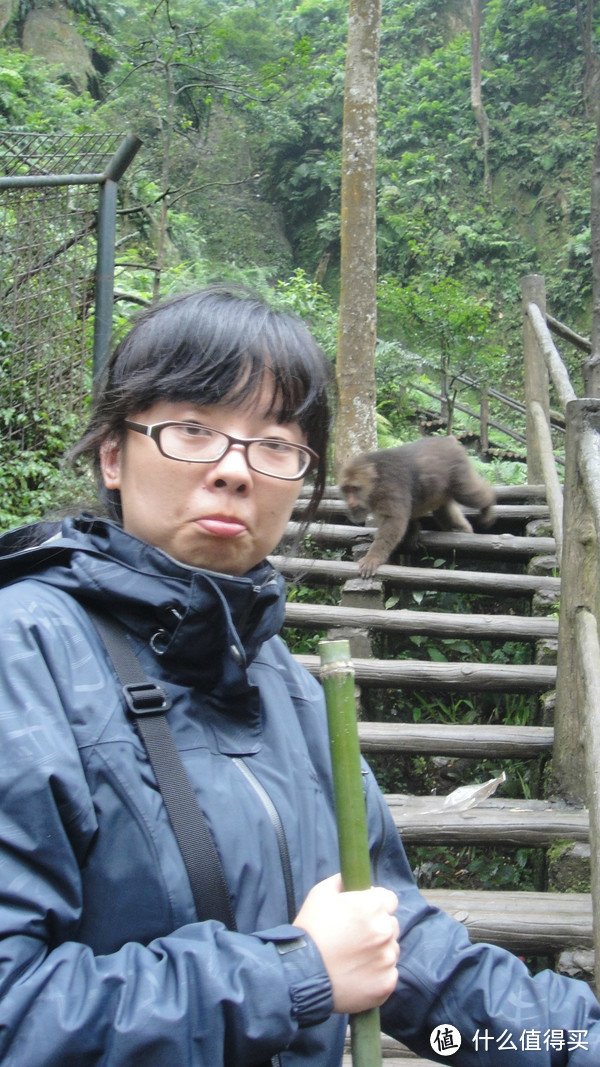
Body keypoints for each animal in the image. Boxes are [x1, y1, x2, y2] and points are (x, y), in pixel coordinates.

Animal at [339, 435, 493, 580]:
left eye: (355, 489)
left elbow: (394, 520)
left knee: (468, 494)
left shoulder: (389, 488)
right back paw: (464, 530)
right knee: (445, 515)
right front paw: (413, 532)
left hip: (459, 471)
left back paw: (488, 505)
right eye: (346, 490)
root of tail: (448, 440)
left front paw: (373, 558)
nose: (351, 502)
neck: (375, 483)